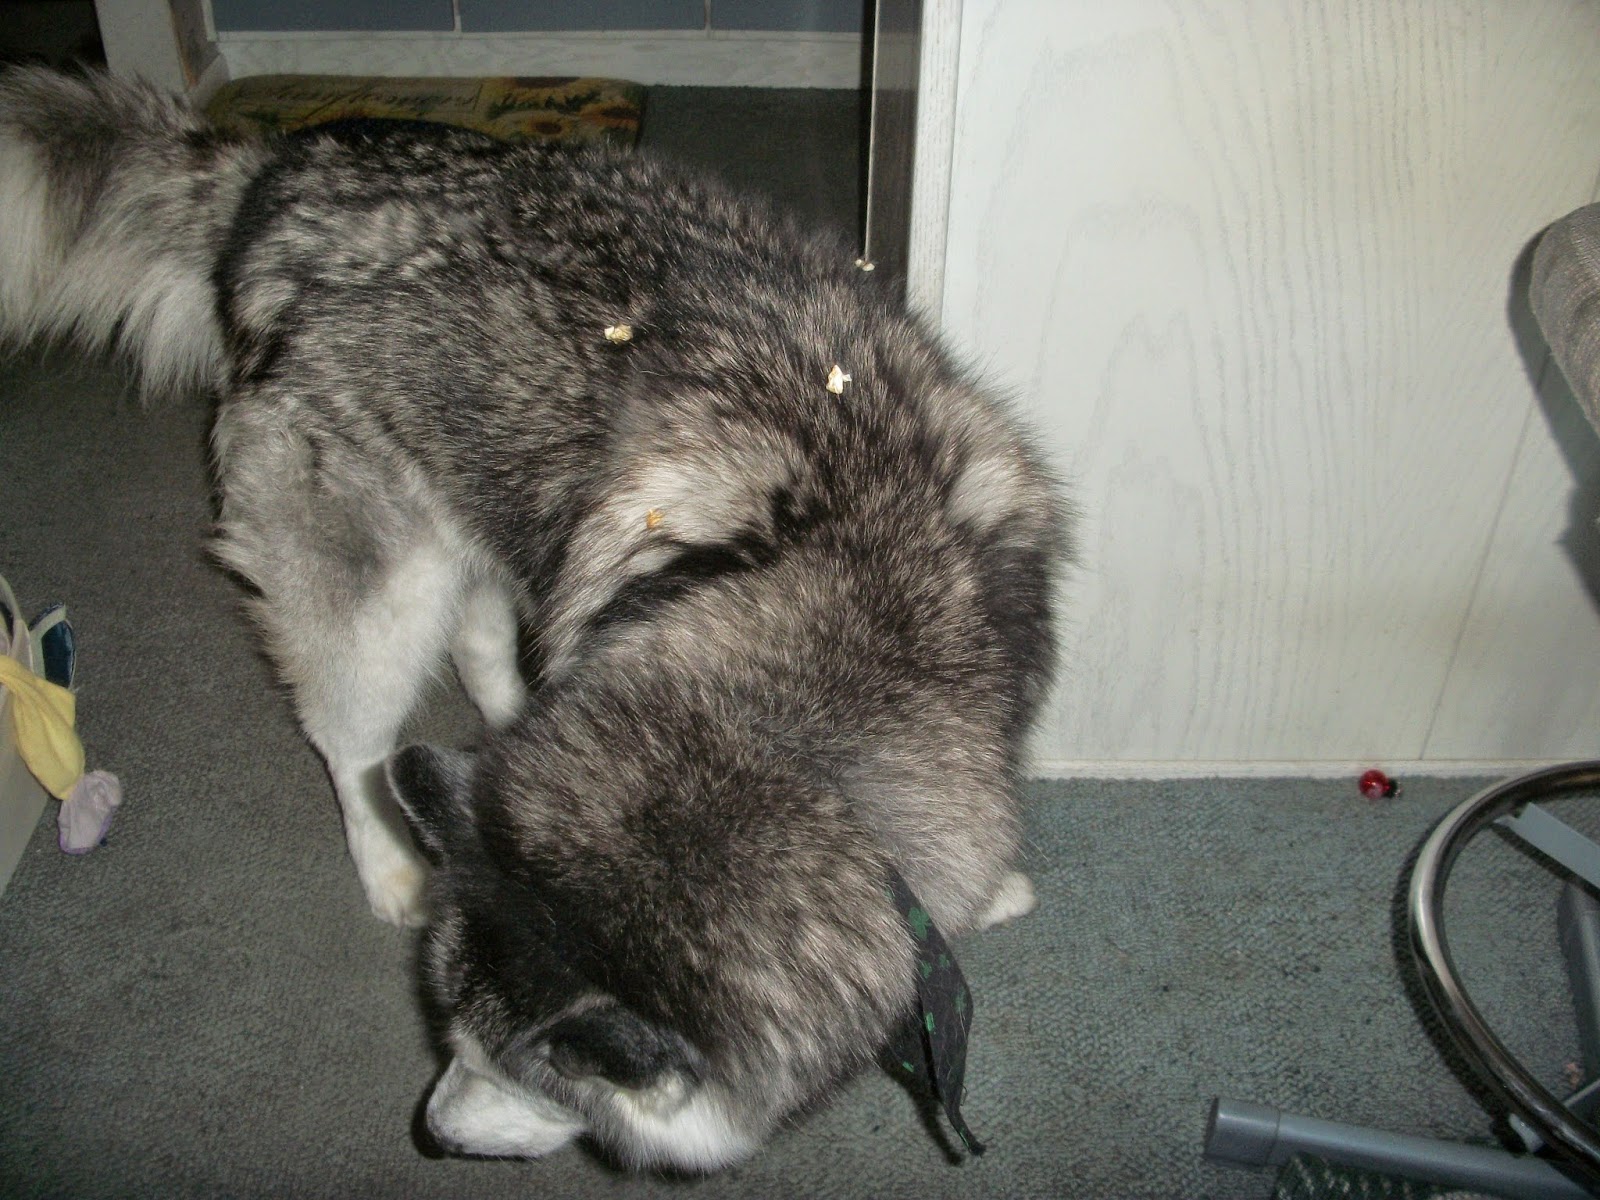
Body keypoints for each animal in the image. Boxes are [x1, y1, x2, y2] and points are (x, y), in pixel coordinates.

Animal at [0, 66, 1068, 1170]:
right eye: (452, 1041)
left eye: (538, 1083)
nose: (428, 1130)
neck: (787, 728)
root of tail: (282, 166)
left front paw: (990, 894)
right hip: (383, 592)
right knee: (349, 736)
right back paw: (387, 850)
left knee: (481, 642)